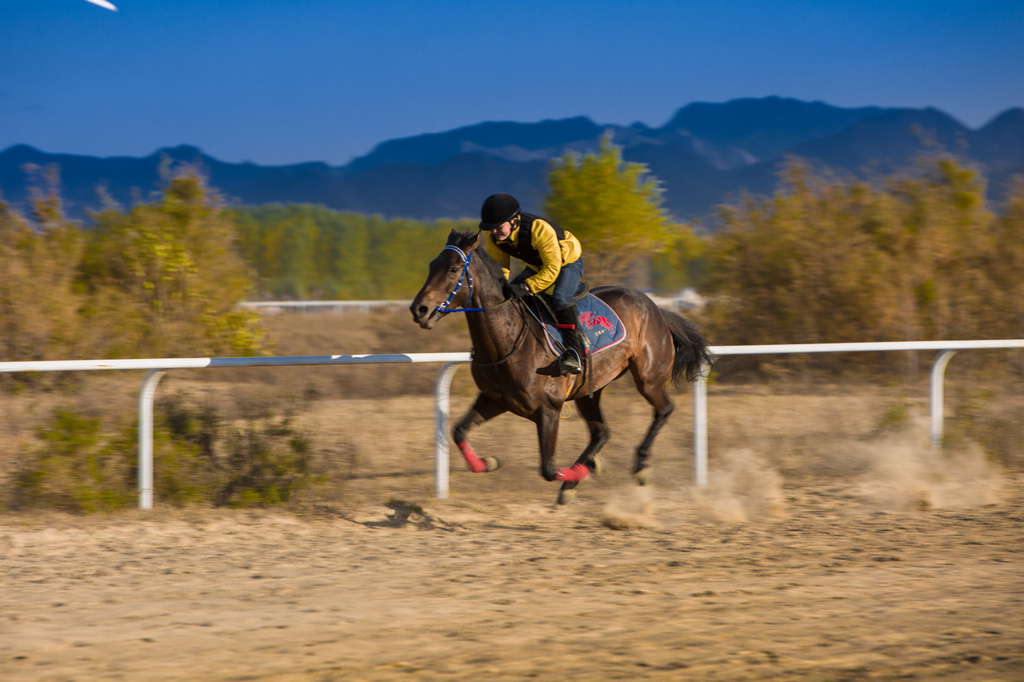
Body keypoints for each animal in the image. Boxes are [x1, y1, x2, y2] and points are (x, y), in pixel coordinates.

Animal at [409, 231, 712, 501]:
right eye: (432, 265)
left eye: (453, 269)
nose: (418, 309)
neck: (507, 340)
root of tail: (657, 308)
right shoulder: (494, 400)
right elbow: (458, 431)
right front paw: (487, 463)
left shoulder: (548, 410)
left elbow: (548, 468)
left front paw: (588, 470)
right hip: (590, 389)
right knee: (601, 432)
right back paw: (578, 477)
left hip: (648, 377)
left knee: (664, 409)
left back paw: (639, 467)